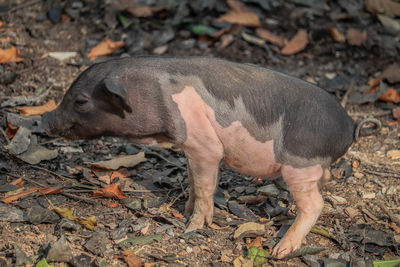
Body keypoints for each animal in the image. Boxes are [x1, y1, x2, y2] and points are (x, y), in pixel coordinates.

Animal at [41, 57, 382, 260]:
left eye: (81, 101)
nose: (44, 119)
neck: (155, 93)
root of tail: (351, 125)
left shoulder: (205, 146)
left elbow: (206, 186)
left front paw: (192, 228)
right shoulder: (191, 148)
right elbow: (193, 182)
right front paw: (185, 211)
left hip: (300, 163)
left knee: (315, 204)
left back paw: (280, 251)